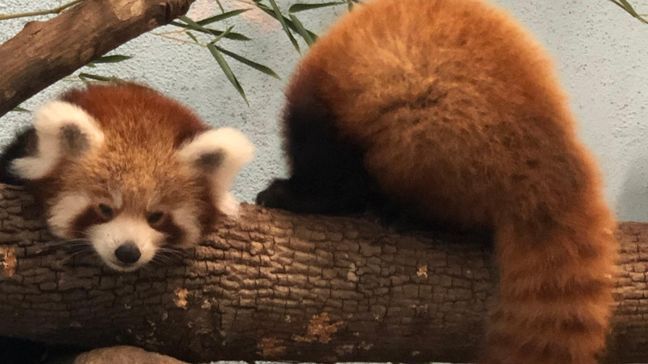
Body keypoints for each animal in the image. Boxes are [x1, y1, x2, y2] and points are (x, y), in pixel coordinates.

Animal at [254, 0, 616, 364]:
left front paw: (286, 195)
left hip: (437, 131)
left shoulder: (328, 115)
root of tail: (553, 157)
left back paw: (403, 213)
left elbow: (332, 182)